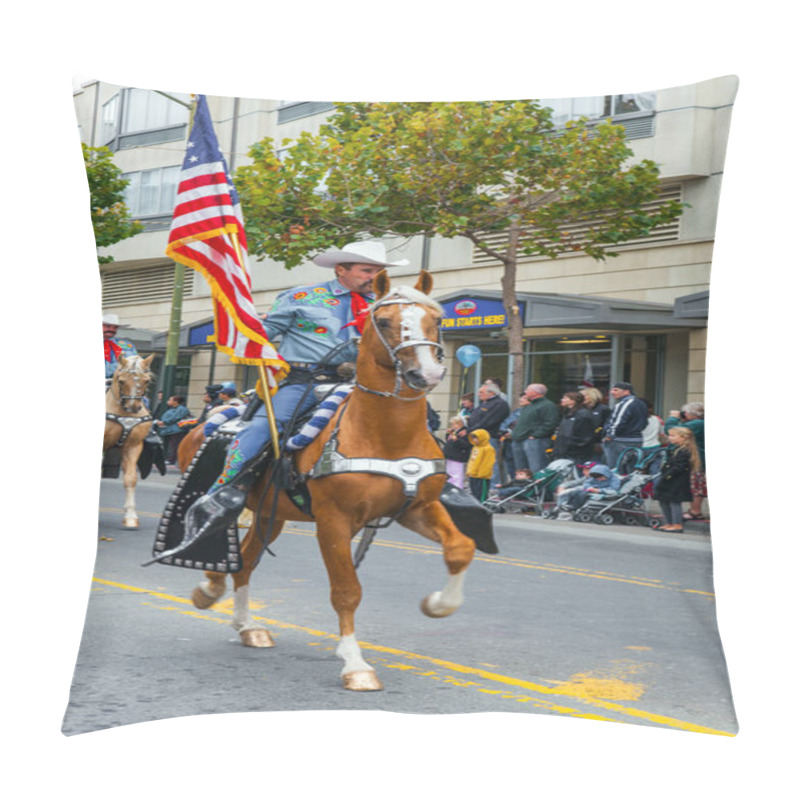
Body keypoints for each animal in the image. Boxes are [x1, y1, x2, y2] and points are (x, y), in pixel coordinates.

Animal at [104, 354, 155, 528]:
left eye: (146, 381)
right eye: (121, 381)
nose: (133, 408)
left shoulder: (133, 446)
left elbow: (130, 479)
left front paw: (131, 516)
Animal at [188, 272, 476, 692]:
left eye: (435, 320)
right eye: (383, 321)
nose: (427, 374)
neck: (385, 434)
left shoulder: (417, 508)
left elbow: (460, 548)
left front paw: (437, 605)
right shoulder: (333, 521)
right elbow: (346, 591)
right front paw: (355, 664)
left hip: (270, 515)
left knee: (245, 563)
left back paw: (246, 626)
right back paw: (209, 589)